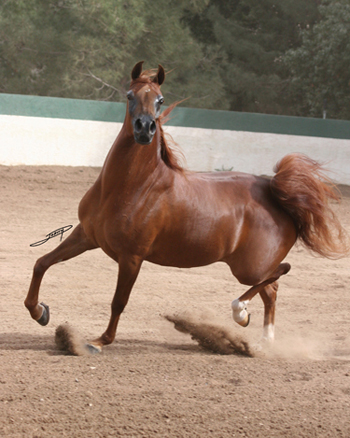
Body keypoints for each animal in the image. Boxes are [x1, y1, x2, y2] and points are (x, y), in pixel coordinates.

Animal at [23, 61, 348, 354]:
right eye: (129, 95)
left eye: (160, 100)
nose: (145, 129)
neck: (130, 187)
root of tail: (275, 194)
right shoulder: (87, 236)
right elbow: (42, 263)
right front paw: (40, 312)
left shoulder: (132, 257)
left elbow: (119, 301)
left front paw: (97, 342)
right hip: (249, 268)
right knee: (271, 291)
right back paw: (259, 339)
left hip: (249, 268)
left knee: (279, 274)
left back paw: (240, 312)